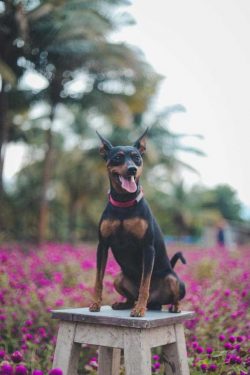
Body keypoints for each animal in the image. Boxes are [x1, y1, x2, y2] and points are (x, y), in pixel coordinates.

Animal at [89, 129, 186, 318]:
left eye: (137, 158)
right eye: (118, 157)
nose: (132, 169)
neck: (124, 202)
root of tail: (155, 303)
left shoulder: (147, 248)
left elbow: (145, 283)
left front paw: (140, 309)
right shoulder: (102, 246)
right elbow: (98, 279)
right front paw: (96, 303)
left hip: (174, 280)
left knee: (174, 296)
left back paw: (172, 307)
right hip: (119, 277)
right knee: (130, 297)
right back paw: (123, 304)